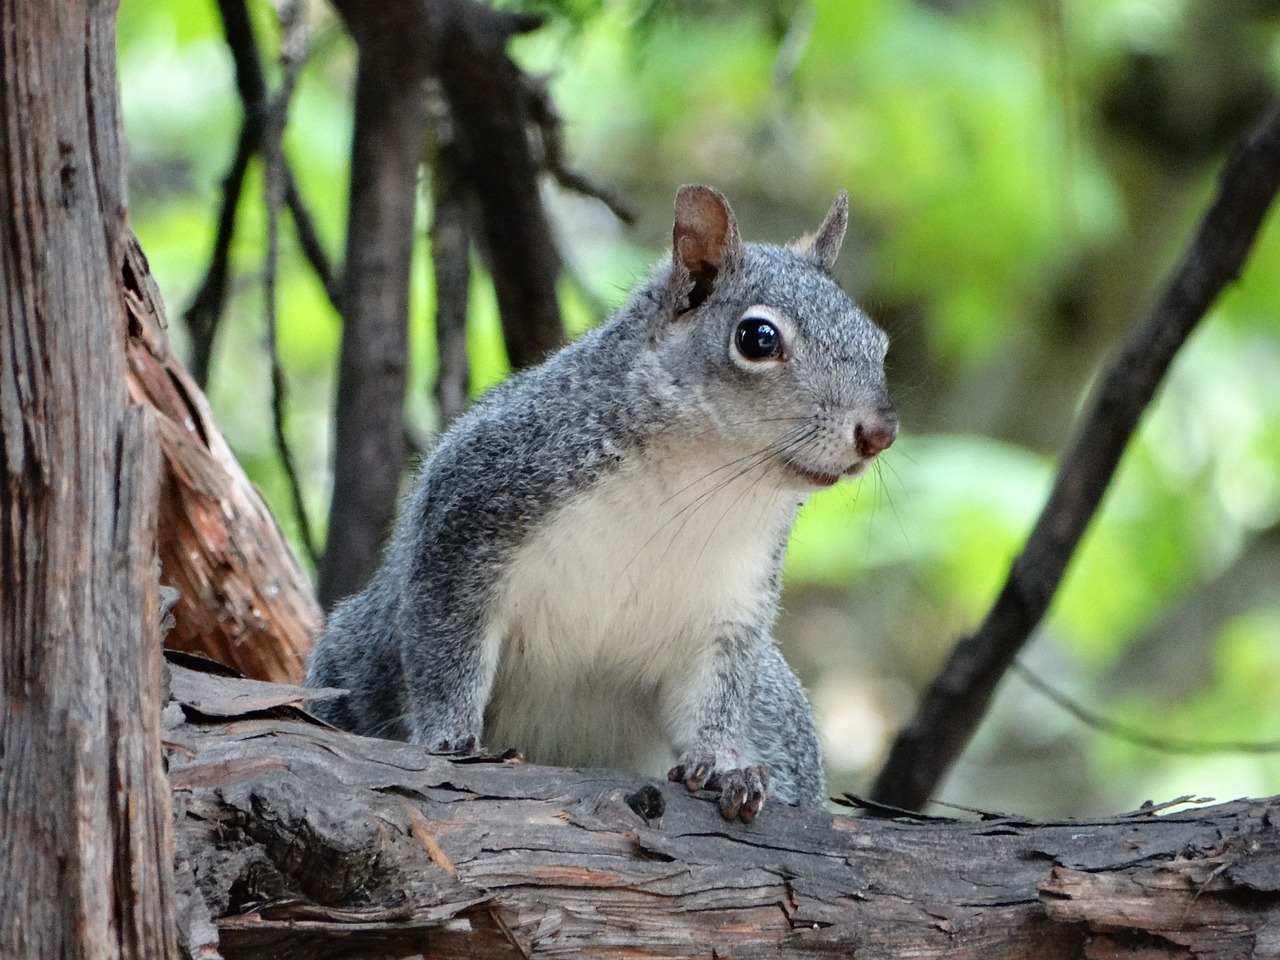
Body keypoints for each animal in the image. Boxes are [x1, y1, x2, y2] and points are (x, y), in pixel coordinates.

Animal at [304, 188, 896, 829]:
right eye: (758, 339)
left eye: (878, 342)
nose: (880, 433)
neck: (698, 483)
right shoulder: (468, 522)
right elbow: (445, 650)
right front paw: (449, 737)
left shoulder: (728, 612)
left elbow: (712, 699)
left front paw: (723, 767)